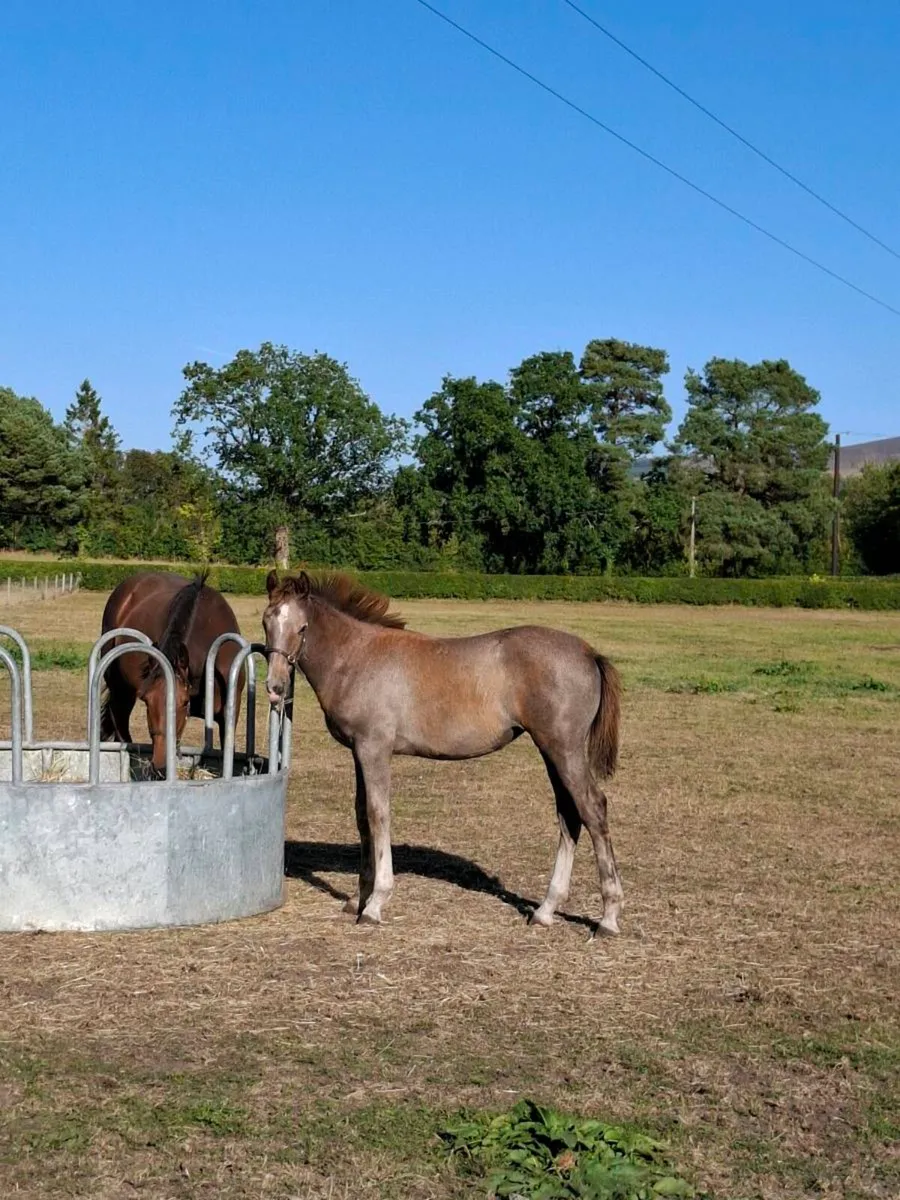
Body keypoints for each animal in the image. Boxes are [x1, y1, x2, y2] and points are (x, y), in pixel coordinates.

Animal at [262, 570, 624, 934]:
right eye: (266, 622)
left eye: (302, 627)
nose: (275, 687)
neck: (355, 657)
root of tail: (589, 652)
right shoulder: (357, 752)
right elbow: (362, 816)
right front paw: (357, 898)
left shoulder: (374, 748)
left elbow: (379, 815)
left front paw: (375, 903)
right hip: (551, 751)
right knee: (569, 815)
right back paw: (545, 910)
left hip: (564, 749)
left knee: (592, 808)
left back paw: (608, 916)